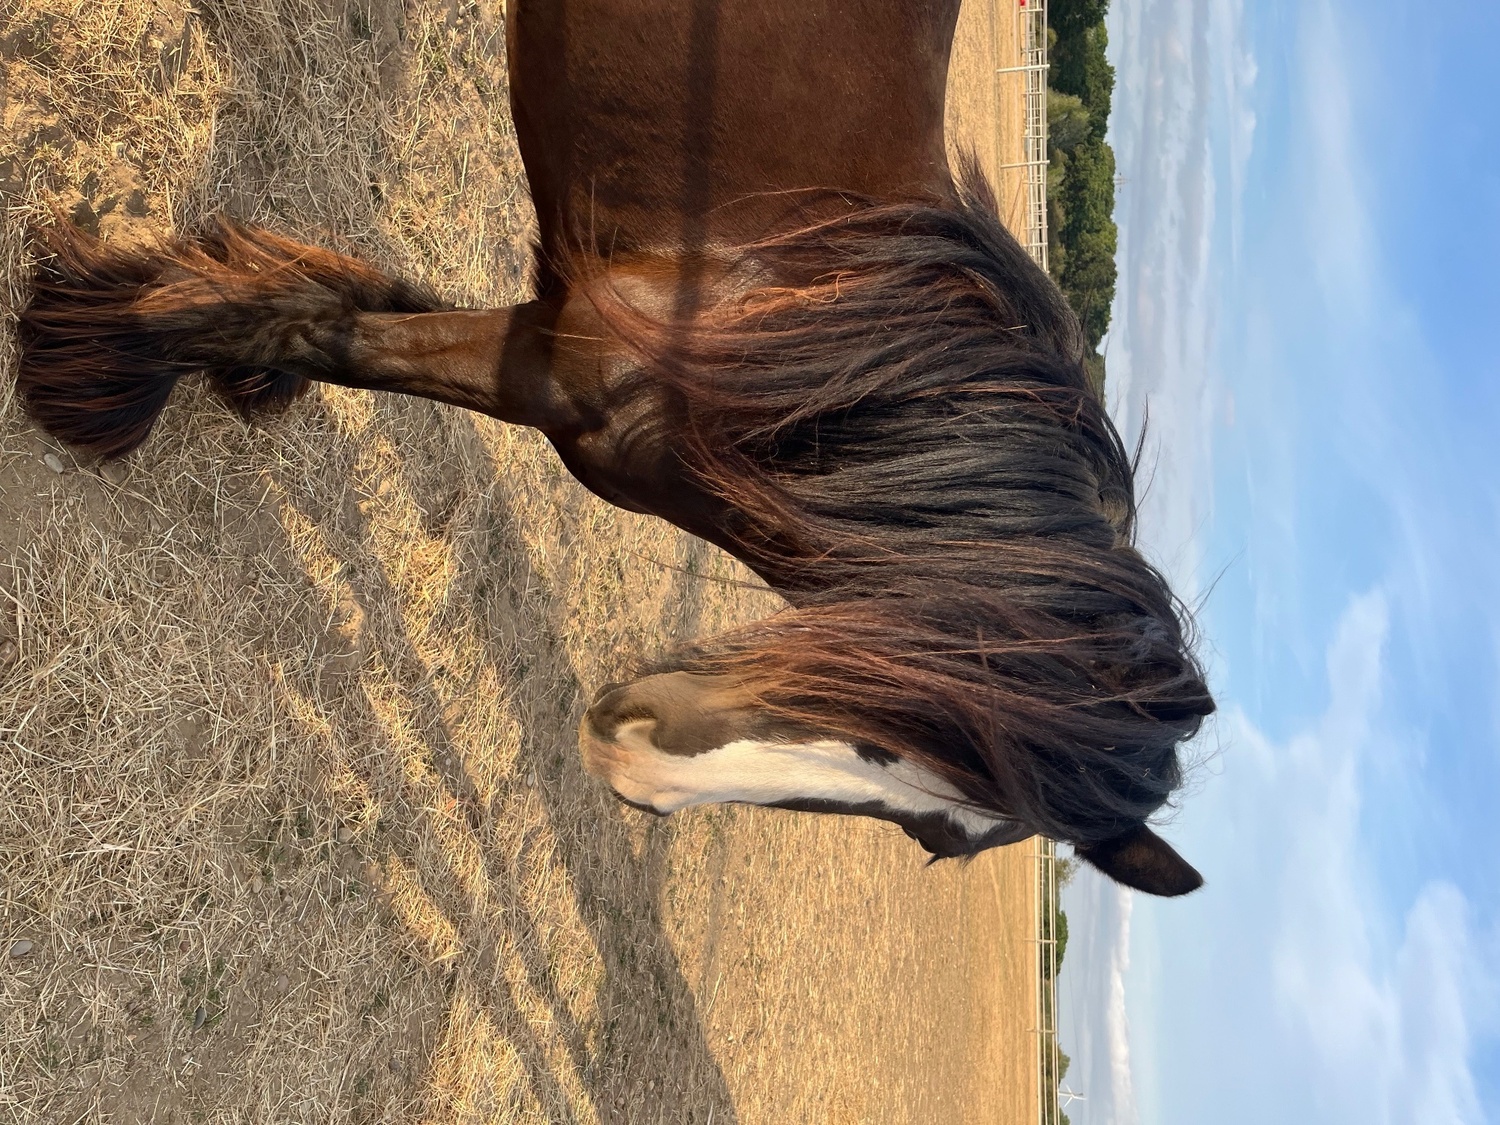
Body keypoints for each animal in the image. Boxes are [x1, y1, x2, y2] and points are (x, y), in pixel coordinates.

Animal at [14, 0, 1214, 895]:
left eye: (932, 834)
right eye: (940, 712)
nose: (635, 762)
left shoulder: (539, 328)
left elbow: (345, 304)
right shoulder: (552, 369)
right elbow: (324, 328)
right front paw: (101, 355)